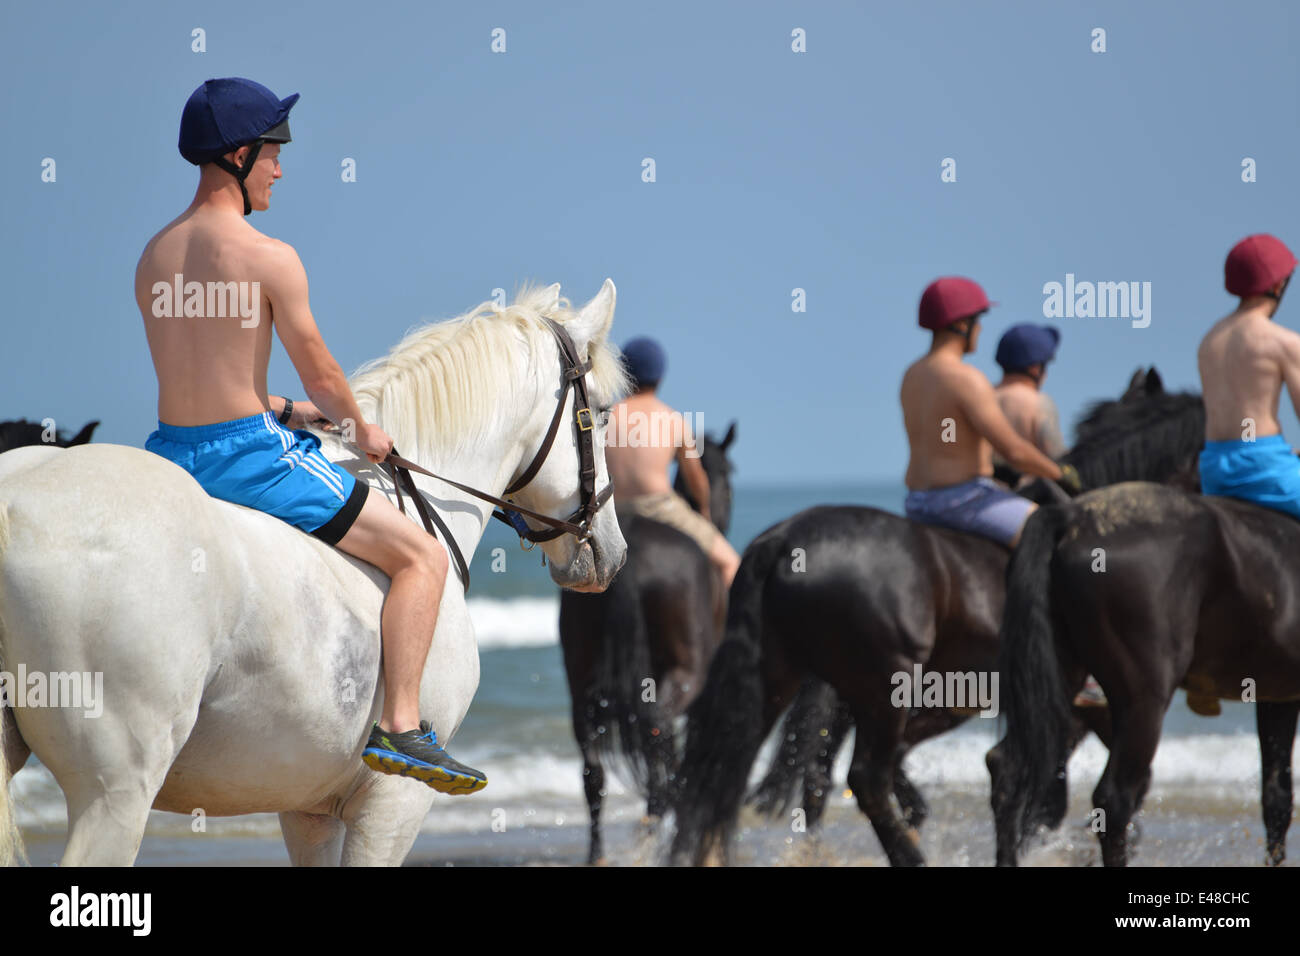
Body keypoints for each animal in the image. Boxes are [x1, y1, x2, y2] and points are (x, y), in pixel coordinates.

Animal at [559, 421, 738, 863]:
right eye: (728, 478)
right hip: (684, 675)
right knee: (659, 729)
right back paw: (661, 810)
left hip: (580, 682)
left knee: (593, 770)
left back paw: (599, 852)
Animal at [676, 371, 1201, 868]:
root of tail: (782, 541)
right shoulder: (1092, 706)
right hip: (887, 685)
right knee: (863, 776)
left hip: (785, 678)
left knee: (749, 767)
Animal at [993, 478, 1300, 868]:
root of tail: (1071, 515)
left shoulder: (1276, 694)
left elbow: (1277, 799)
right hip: (1144, 698)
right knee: (1114, 799)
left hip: (1058, 678)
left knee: (1008, 770)